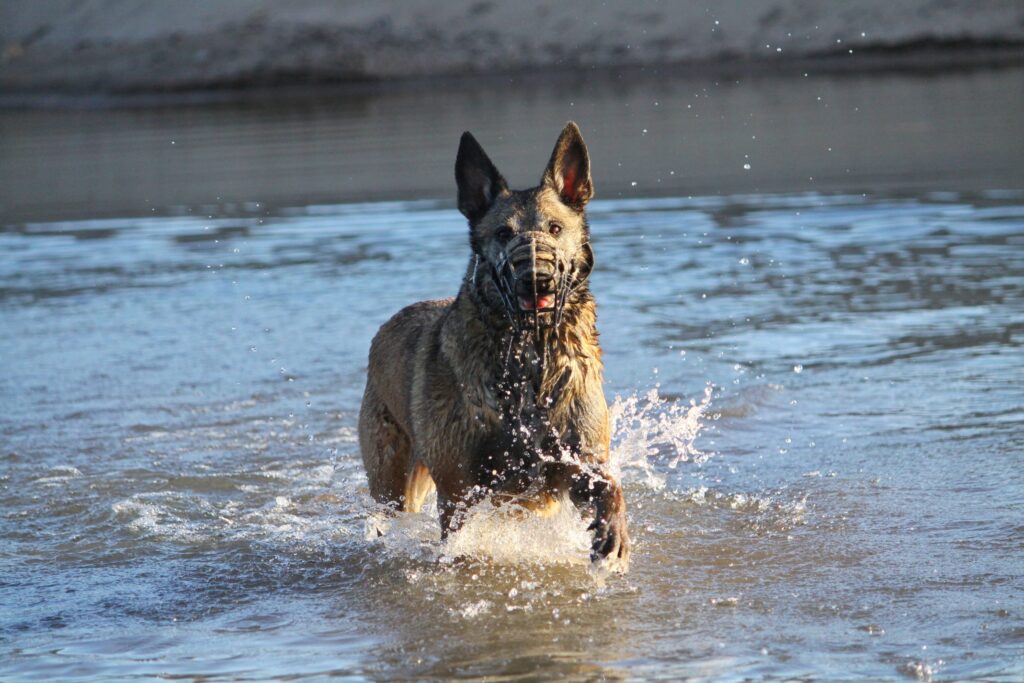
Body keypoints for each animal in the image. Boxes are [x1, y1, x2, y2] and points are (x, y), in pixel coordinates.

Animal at [360, 121, 630, 565]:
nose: (537, 279)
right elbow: (458, 534)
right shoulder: (459, 488)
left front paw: (613, 533)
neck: (531, 358)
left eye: (555, 228)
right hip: (391, 478)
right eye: (503, 234)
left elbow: (610, 490)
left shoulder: (578, 460)